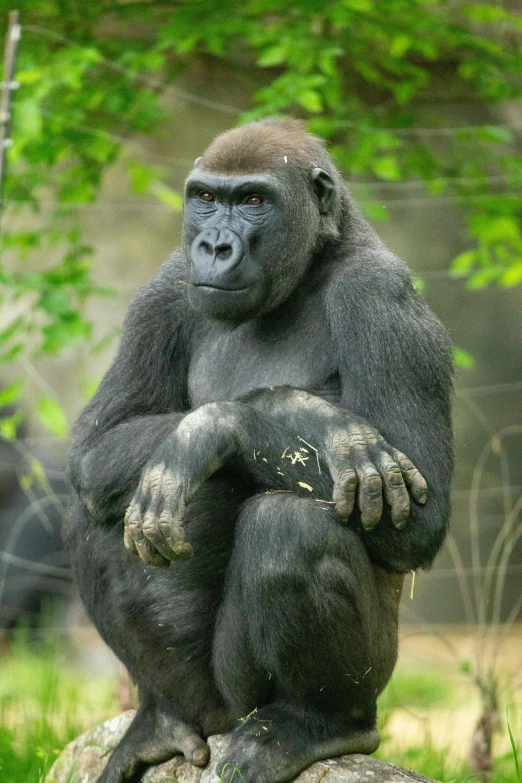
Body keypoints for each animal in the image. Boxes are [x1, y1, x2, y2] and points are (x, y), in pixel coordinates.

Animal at [65, 116, 450, 783]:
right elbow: (97, 446)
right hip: (210, 707)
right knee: (101, 514)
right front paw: (298, 420)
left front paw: (221, 427)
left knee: (289, 530)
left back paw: (318, 724)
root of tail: (220, 723)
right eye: (205, 197)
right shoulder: (166, 284)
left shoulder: (383, 297)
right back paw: (163, 714)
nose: (215, 246)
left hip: (345, 681)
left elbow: (420, 520)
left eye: (252, 201)